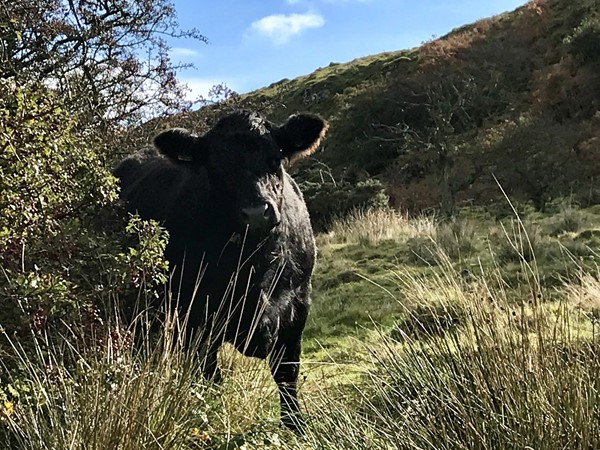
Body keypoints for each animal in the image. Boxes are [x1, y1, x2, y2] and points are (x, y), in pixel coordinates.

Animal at [114, 110, 326, 432]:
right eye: (215, 168)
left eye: (274, 157)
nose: (256, 213)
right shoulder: (195, 318)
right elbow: (210, 377)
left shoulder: (298, 305)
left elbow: (286, 373)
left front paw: (295, 425)